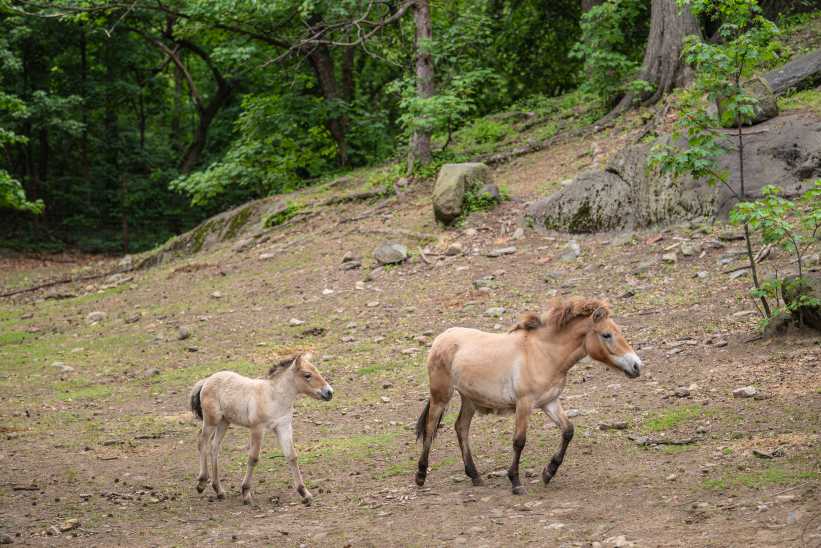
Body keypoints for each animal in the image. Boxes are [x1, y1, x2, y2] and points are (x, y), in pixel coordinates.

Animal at [189, 352, 333, 505]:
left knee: (214, 447)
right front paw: (246, 493)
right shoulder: (257, 428)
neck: (273, 397)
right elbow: (253, 458)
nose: (329, 392)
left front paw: (304, 493)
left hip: (224, 422)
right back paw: (202, 483)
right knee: (202, 442)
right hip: (211, 421)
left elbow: (292, 456)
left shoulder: (284, 427)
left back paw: (219, 490)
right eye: (307, 375)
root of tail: (207, 380)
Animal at [414, 297, 642, 495]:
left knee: (461, 428)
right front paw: (516, 482)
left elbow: (568, 430)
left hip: (469, 398)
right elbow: (519, 441)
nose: (637, 366)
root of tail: (442, 337)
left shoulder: (550, 402)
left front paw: (549, 472)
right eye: (606, 335)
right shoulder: (524, 404)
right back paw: (420, 475)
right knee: (431, 426)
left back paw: (475, 475)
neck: (543, 354)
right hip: (441, 395)